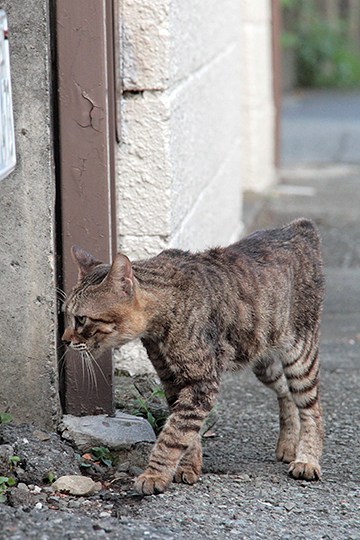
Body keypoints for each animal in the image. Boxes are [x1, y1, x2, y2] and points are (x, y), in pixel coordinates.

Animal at [61, 218, 324, 494]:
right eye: (66, 314)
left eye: (81, 319)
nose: (64, 340)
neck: (165, 312)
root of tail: (298, 227)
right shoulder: (171, 379)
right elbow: (188, 432)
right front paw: (188, 467)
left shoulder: (201, 381)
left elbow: (174, 433)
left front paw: (154, 474)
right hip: (263, 362)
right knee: (285, 392)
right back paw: (288, 444)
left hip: (299, 356)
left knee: (312, 409)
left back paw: (306, 460)